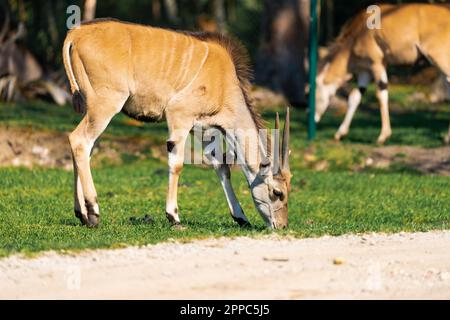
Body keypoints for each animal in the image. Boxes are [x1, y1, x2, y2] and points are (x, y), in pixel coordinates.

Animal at [62, 18, 292, 230]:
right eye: (277, 192)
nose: (281, 226)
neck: (223, 81)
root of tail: (76, 34)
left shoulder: (203, 129)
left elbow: (222, 166)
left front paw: (241, 217)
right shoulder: (179, 116)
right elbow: (177, 163)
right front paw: (174, 216)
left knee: (82, 147)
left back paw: (81, 214)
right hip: (105, 105)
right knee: (79, 140)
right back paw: (93, 213)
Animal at [312, 3, 450, 144]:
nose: (313, 117)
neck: (356, 33)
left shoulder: (377, 62)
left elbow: (381, 94)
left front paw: (383, 135)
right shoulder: (365, 71)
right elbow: (355, 96)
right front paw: (340, 133)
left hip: (439, 57)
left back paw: (447, 137)